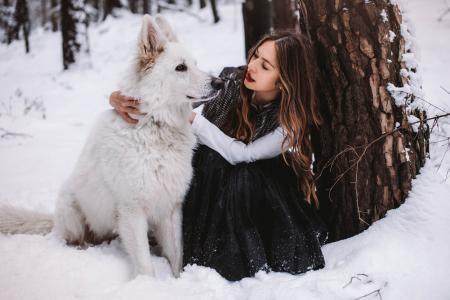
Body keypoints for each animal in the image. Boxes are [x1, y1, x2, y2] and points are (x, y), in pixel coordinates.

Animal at [0, 13, 221, 276]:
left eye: (195, 64)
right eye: (181, 67)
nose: (220, 82)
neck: (154, 124)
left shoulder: (171, 209)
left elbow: (177, 257)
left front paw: (178, 281)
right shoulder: (132, 211)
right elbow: (145, 265)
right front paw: (148, 283)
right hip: (71, 209)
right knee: (73, 238)